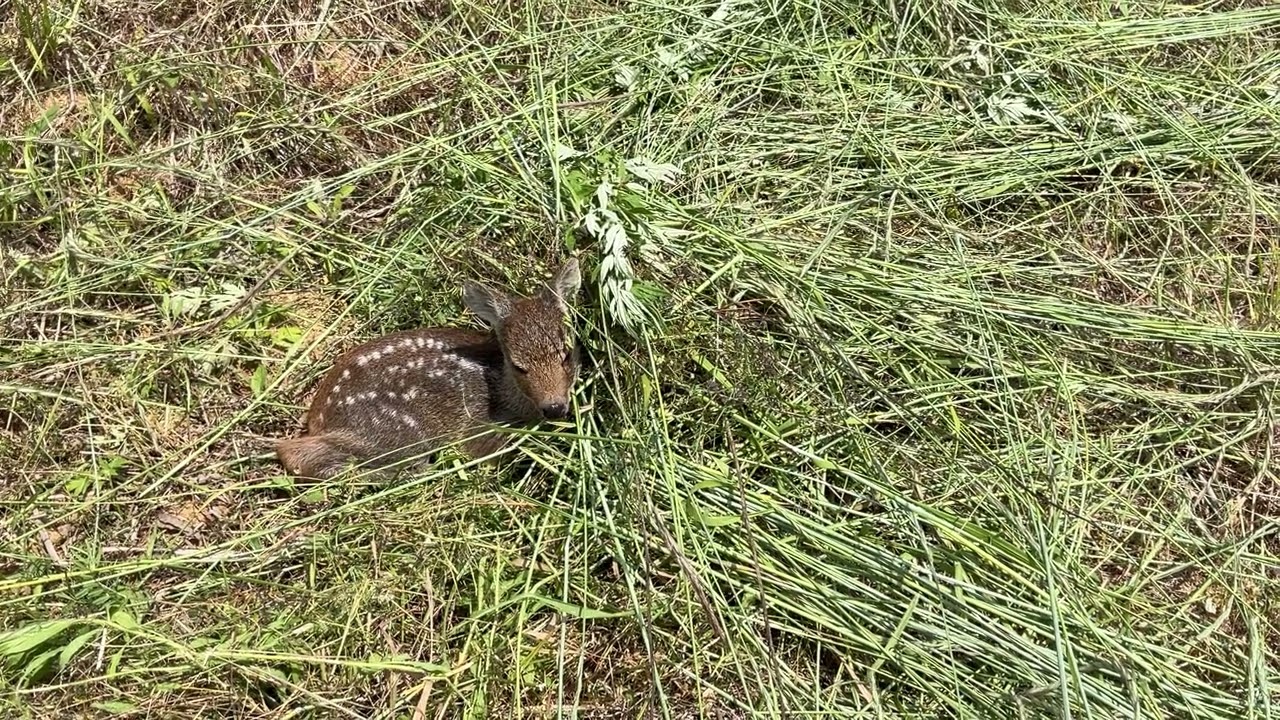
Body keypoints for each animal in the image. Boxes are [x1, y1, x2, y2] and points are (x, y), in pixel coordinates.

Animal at [276, 258, 582, 479]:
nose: (554, 407)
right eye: (519, 366)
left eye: (566, 354)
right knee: (296, 452)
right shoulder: (477, 429)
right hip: (399, 434)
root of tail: (318, 418)